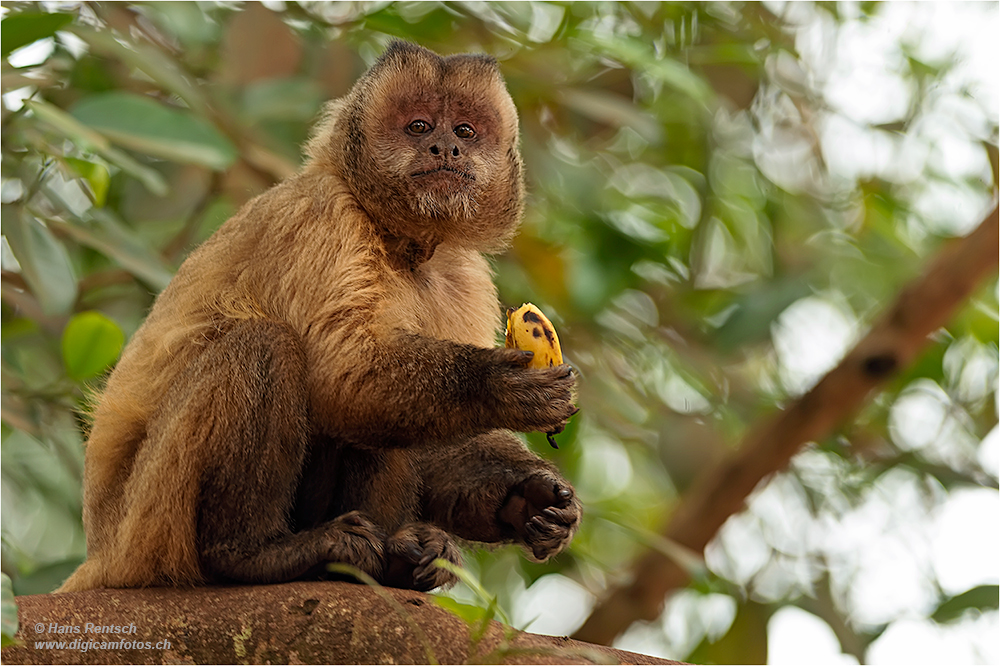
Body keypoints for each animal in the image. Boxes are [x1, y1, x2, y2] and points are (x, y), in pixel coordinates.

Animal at [58, 41, 580, 592]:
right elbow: (339, 374)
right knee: (265, 345)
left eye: (464, 131)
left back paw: (397, 560)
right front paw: (498, 387)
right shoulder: (322, 215)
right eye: (418, 126)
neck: (402, 244)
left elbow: (442, 440)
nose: (445, 149)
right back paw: (250, 553)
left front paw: (526, 499)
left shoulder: (465, 274)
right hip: (150, 522)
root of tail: (101, 554)